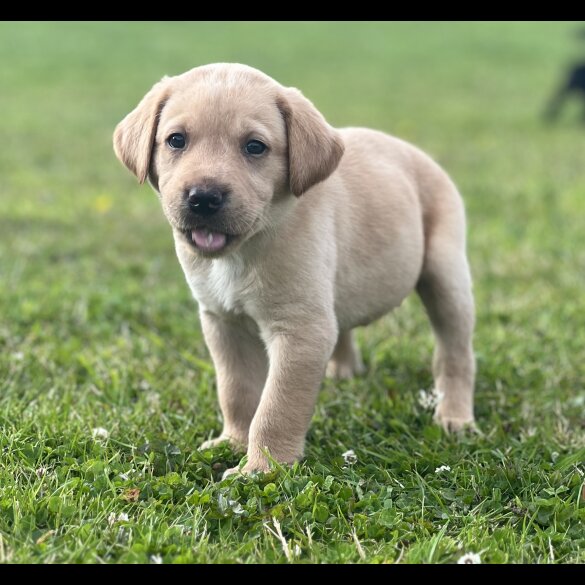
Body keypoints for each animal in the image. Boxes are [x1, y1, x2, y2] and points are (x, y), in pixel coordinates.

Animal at [114, 62, 474, 474]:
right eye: (176, 140)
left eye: (255, 146)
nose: (203, 198)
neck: (244, 251)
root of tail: (417, 153)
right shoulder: (223, 322)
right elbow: (236, 389)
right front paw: (232, 441)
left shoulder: (300, 331)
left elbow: (277, 406)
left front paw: (262, 468)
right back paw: (342, 372)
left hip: (446, 276)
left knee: (455, 353)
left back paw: (455, 417)